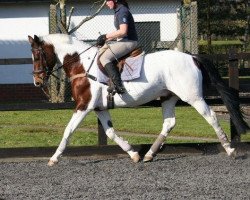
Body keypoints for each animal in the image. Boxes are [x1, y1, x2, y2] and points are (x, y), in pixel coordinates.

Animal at [27, 34, 248, 166]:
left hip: (193, 97)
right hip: (168, 97)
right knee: (169, 123)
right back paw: (149, 154)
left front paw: (54, 158)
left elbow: (68, 130)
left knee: (211, 117)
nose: (37, 81)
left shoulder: (83, 106)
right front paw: (133, 153)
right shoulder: (99, 108)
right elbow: (110, 132)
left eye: (37, 55)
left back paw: (230, 149)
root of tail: (191, 56)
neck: (82, 65)